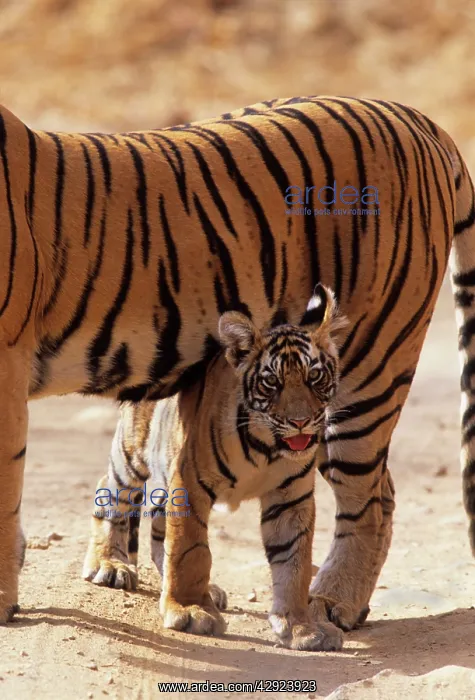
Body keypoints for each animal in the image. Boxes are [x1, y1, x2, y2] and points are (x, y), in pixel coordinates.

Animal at [83, 284, 346, 651]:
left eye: (315, 376)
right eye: (272, 382)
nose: (300, 422)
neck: (267, 448)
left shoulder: (290, 498)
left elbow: (294, 563)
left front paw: (302, 628)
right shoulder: (190, 486)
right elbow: (190, 552)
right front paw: (191, 612)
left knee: (158, 526)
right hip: (133, 453)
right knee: (111, 490)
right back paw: (110, 564)